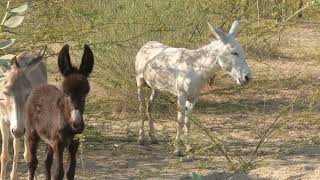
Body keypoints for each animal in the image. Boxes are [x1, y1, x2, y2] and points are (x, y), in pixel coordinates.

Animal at [24, 44, 94, 180]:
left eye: (85, 93)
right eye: (66, 93)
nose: (77, 124)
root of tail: (40, 87)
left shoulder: (74, 144)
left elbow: (70, 172)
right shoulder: (59, 143)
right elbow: (59, 173)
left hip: (49, 139)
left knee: (47, 161)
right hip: (32, 133)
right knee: (32, 162)